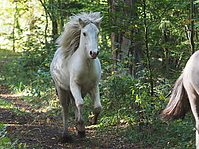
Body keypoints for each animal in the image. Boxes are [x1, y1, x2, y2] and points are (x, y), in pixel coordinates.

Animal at [49, 12, 102, 143]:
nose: (93, 53)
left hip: (79, 91)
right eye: (84, 33)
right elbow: (80, 104)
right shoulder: (75, 86)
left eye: (97, 33)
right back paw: (66, 135)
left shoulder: (93, 87)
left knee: (74, 104)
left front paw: (92, 121)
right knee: (65, 109)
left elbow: (97, 107)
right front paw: (80, 122)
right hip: (62, 89)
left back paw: (80, 131)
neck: (87, 65)